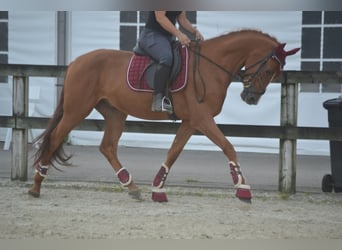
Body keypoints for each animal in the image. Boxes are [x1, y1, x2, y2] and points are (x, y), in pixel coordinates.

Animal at [28, 29, 298, 202]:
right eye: (269, 69)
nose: (251, 98)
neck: (210, 65)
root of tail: (76, 62)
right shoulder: (202, 119)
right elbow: (228, 147)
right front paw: (243, 188)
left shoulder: (192, 121)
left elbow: (174, 152)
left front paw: (157, 189)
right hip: (77, 110)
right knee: (55, 139)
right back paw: (36, 186)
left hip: (115, 113)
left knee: (107, 147)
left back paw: (131, 186)